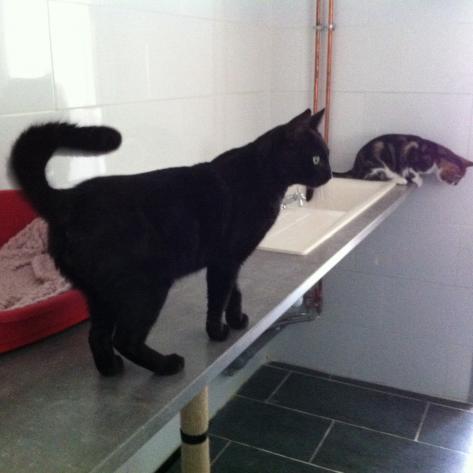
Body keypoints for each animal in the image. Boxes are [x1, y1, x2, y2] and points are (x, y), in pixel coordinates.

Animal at [9, 109, 331, 377]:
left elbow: (234, 291)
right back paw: (166, 366)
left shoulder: (232, 260)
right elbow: (218, 298)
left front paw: (237, 318)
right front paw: (218, 331)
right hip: (148, 286)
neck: (262, 177)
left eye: (326, 156)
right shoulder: (224, 260)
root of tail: (67, 200)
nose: (329, 174)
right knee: (125, 338)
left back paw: (111, 369)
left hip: (101, 293)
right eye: (316, 158)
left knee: (97, 335)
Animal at [334, 134, 473, 187]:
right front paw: (419, 180)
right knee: (371, 178)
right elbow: (412, 171)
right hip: (377, 161)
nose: (455, 184)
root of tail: (355, 167)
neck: (435, 154)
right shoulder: (409, 159)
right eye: (457, 177)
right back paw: (399, 179)